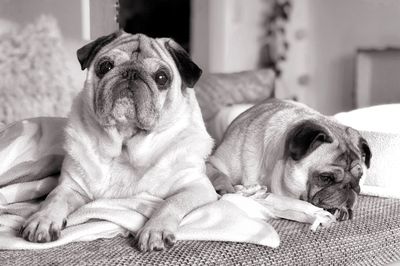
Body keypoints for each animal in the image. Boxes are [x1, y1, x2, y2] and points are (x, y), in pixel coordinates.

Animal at [19, 31, 217, 251]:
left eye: (162, 77)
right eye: (105, 66)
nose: (131, 73)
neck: (125, 146)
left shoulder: (197, 187)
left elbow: (171, 202)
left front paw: (155, 229)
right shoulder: (70, 187)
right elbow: (54, 199)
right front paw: (43, 219)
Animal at [208, 98, 370, 221]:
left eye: (360, 177)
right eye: (326, 178)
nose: (350, 186)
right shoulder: (212, 162)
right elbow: (219, 175)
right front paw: (229, 189)